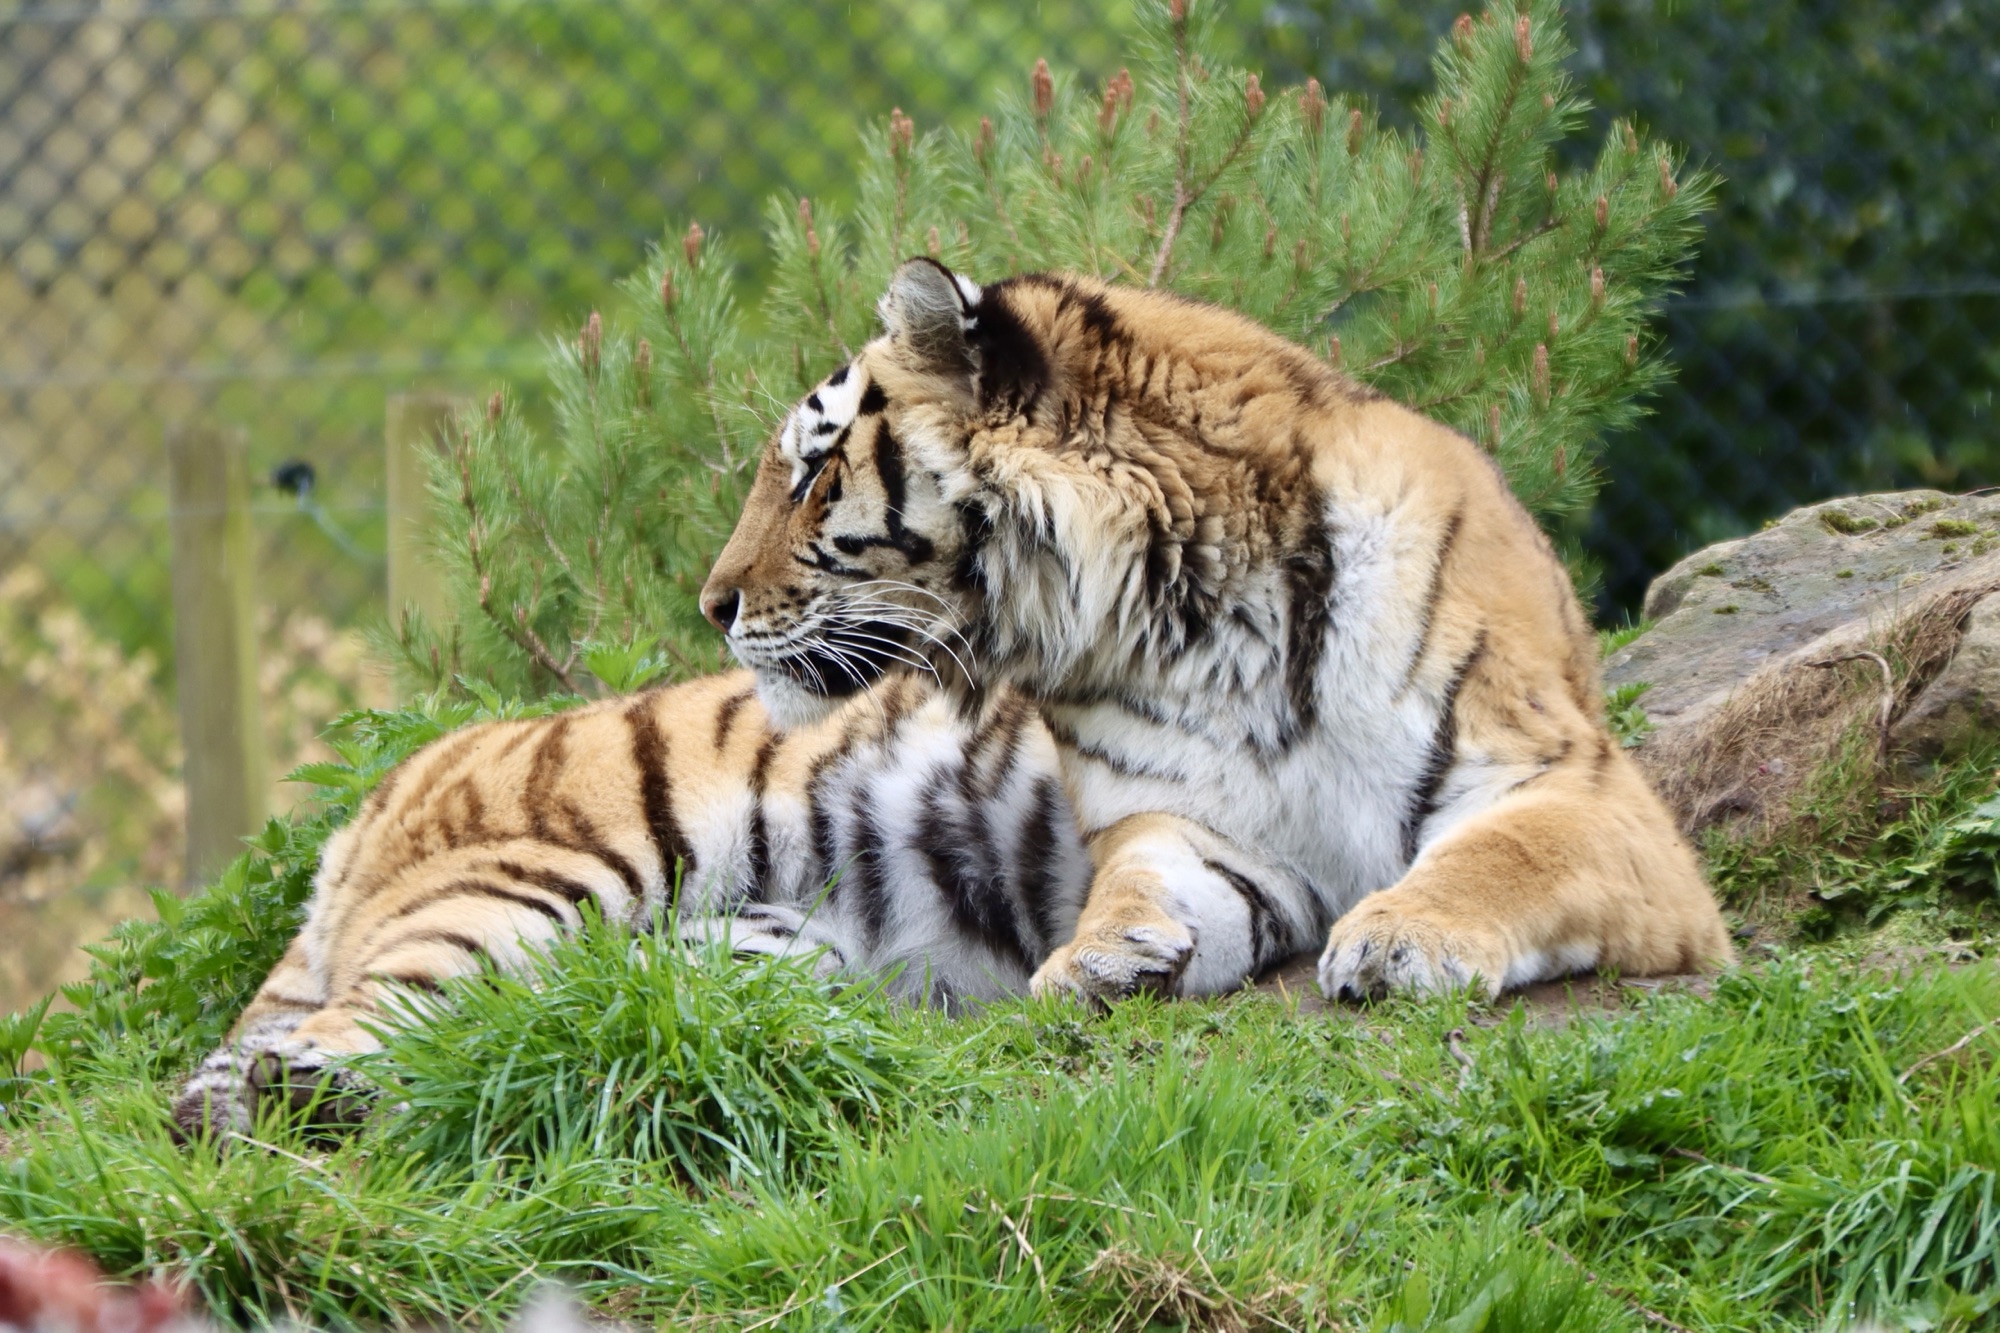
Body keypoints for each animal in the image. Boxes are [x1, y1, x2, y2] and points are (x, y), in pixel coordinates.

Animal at [171, 670, 1092, 1139]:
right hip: (532, 878)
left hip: (778, 942)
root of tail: (367, 806)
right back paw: (319, 1098)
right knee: (357, 1029)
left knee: (567, 1011)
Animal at [698, 259, 1734, 1005]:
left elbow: (1504, 854)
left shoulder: (1572, 783)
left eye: (812, 473)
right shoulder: (1205, 825)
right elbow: (1146, 876)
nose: (712, 606)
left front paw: (1402, 940)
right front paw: (1100, 954)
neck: (1195, 616)